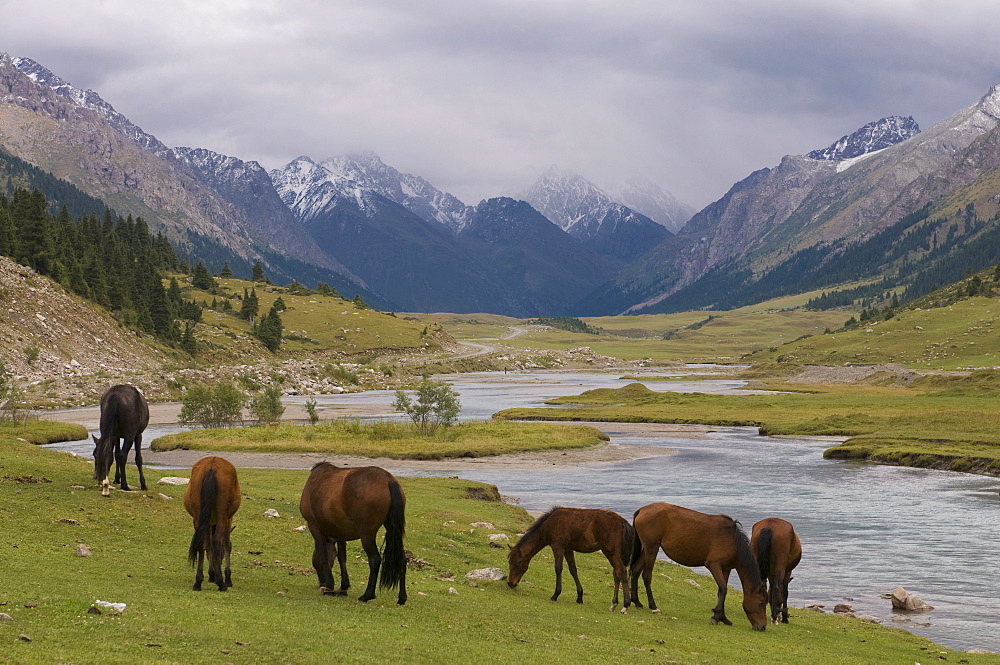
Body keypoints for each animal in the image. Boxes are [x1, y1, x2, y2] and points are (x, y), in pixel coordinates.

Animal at [183, 456, 241, 592]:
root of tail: (212, 466)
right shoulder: (228, 519)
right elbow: (226, 545)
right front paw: (227, 579)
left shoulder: (208, 522)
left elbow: (208, 545)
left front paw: (211, 574)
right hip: (222, 515)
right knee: (217, 542)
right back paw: (221, 583)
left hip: (199, 515)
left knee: (201, 543)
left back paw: (198, 582)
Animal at [296, 464, 406, 604]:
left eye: (315, 563)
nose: (321, 583)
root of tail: (388, 479)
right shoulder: (340, 533)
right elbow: (342, 558)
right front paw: (343, 586)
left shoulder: (314, 526)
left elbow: (324, 555)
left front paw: (329, 587)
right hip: (392, 530)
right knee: (402, 558)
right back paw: (402, 597)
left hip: (367, 534)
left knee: (375, 559)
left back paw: (367, 595)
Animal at [504, 508, 636, 612]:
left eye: (517, 563)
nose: (510, 583)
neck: (548, 526)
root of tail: (623, 522)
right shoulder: (568, 549)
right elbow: (573, 570)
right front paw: (579, 597)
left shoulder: (558, 546)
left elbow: (558, 568)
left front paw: (555, 594)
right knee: (616, 574)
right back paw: (614, 604)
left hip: (610, 551)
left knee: (621, 572)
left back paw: (625, 605)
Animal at [628, 500, 768, 632]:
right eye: (761, 603)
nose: (763, 626)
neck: (732, 541)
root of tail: (641, 510)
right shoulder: (714, 565)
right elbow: (723, 589)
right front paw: (716, 617)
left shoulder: (726, 568)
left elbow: (721, 591)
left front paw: (723, 617)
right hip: (652, 547)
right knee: (646, 575)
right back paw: (653, 606)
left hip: (647, 548)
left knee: (635, 570)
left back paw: (636, 601)